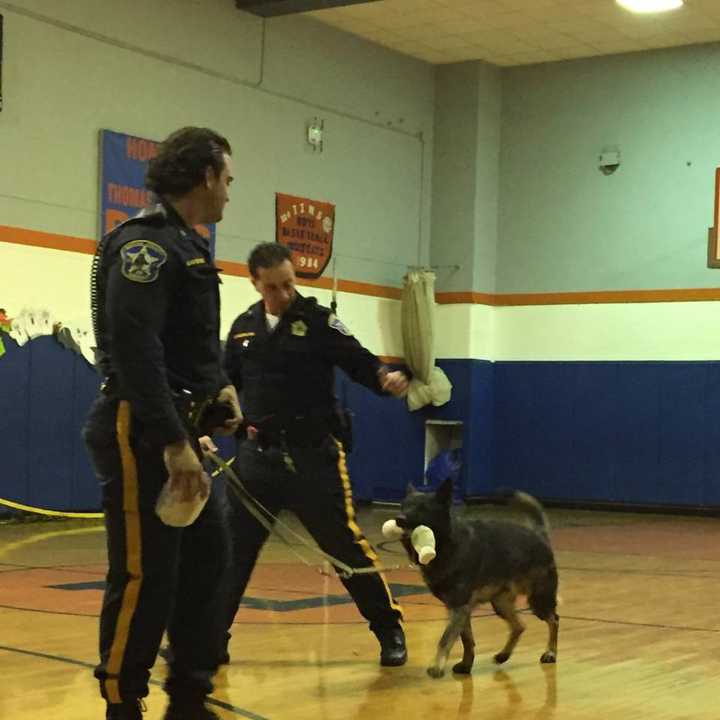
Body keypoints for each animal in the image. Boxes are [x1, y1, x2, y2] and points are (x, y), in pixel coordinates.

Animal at [400, 480, 556, 676]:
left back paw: (551, 652)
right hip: (500, 604)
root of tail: (539, 535)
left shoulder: (459, 608)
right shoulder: (459, 610)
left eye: (422, 508)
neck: (447, 545)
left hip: (538, 600)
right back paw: (504, 655)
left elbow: (445, 639)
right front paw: (466, 665)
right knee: (519, 626)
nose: (399, 518)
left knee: (553, 620)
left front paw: (437, 667)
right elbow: (467, 640)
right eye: (404, 506)